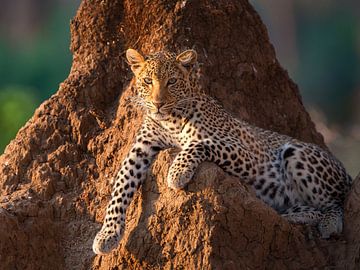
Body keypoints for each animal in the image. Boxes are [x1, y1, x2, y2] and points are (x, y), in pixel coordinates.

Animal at [92, 48, 352, 255]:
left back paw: (328, 224)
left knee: (337, 202)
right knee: (313, 208)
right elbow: (120, 188)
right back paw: (287, 217)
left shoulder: (245, 154)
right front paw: (107, 235)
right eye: (147, 81)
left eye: (172, 81)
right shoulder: (140, 150)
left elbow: (199, 144)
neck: (169, 121)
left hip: (296, 152)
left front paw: (177, 173)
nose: (158, 104)